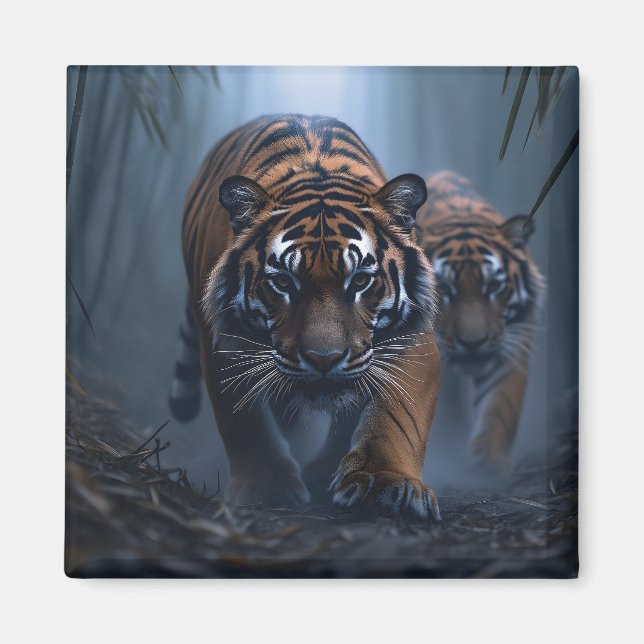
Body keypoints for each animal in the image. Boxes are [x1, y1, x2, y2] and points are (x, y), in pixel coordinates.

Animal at [168, 114, 442, 519]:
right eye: (283, 282)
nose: (323, 359)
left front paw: (386, 484)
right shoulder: (223, 344)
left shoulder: (413, 339)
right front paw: (266, 487)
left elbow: (398, 415)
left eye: (360, 280)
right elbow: (243, 420)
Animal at [416, 171, 545, 472]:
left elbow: (500, 407)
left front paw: (488, 463)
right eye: (444, 289)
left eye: (495, 286)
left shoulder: (512, 341)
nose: (473, 343)